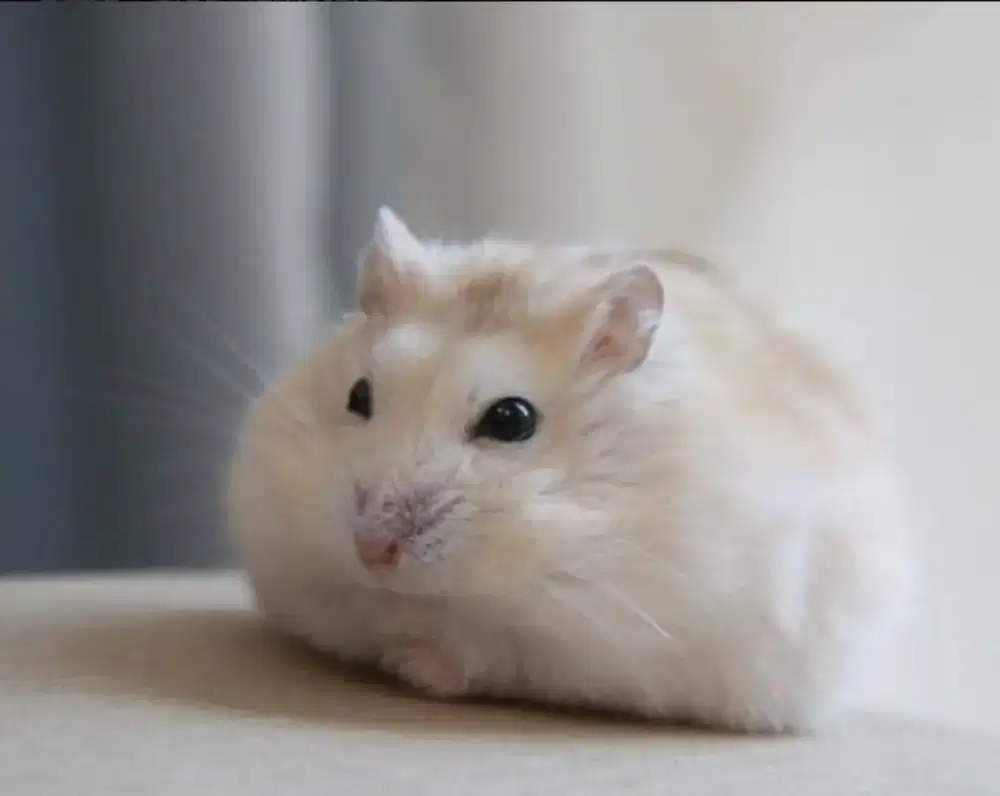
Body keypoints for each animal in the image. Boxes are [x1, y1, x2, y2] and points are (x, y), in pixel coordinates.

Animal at [226, 207, 910, 734]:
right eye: (358, 395)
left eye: (511, 419)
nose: (372, 552)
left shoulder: (599, 641)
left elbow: (484, 652)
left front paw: (410, 662)